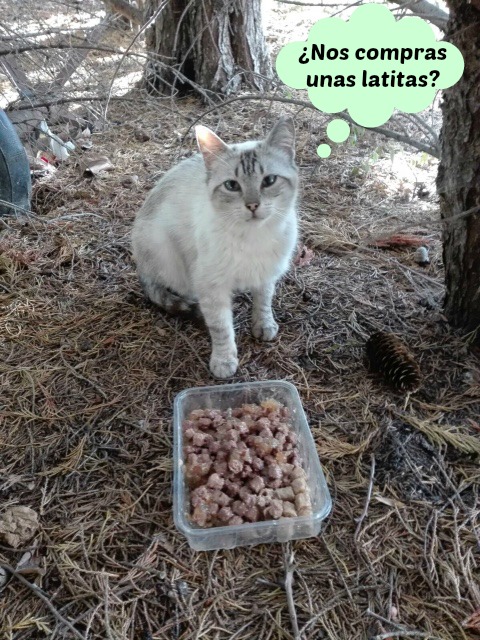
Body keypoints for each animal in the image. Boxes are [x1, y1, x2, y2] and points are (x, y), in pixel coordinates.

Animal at [130, 115, 296, 378]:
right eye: (232, 186)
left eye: (269, 181)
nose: (252, 205)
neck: (253, 237)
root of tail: (140, 267)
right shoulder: (211, 288)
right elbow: (221, 327)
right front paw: (224, 362)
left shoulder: (267, 274)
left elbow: (263, 302)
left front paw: (264, 326)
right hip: (169, 258)